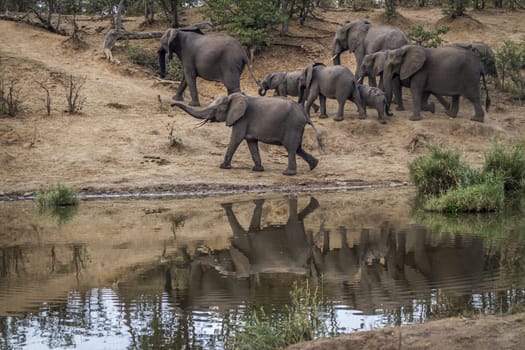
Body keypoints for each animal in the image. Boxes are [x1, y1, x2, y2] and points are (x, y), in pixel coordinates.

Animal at [172, 92, 322, 175]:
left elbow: (236, 139)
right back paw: (314, 166)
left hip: (292, 125)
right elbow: (251, 142)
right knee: (297, 148)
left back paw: (288, 173)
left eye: (215, 109)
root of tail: (305, 114)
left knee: (291, 148)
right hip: (296, 127)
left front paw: (223, 167)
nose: (172, 104)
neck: (233, 98)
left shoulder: (242, 119)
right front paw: (257, 169)